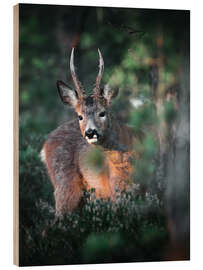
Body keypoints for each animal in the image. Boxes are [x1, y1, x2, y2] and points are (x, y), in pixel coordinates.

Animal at [40, 47, 136, 214]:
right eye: (80, 116)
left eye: (102, 112)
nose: (90, 132)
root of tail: (46, 143)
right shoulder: (117, 192)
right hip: (65, 186)